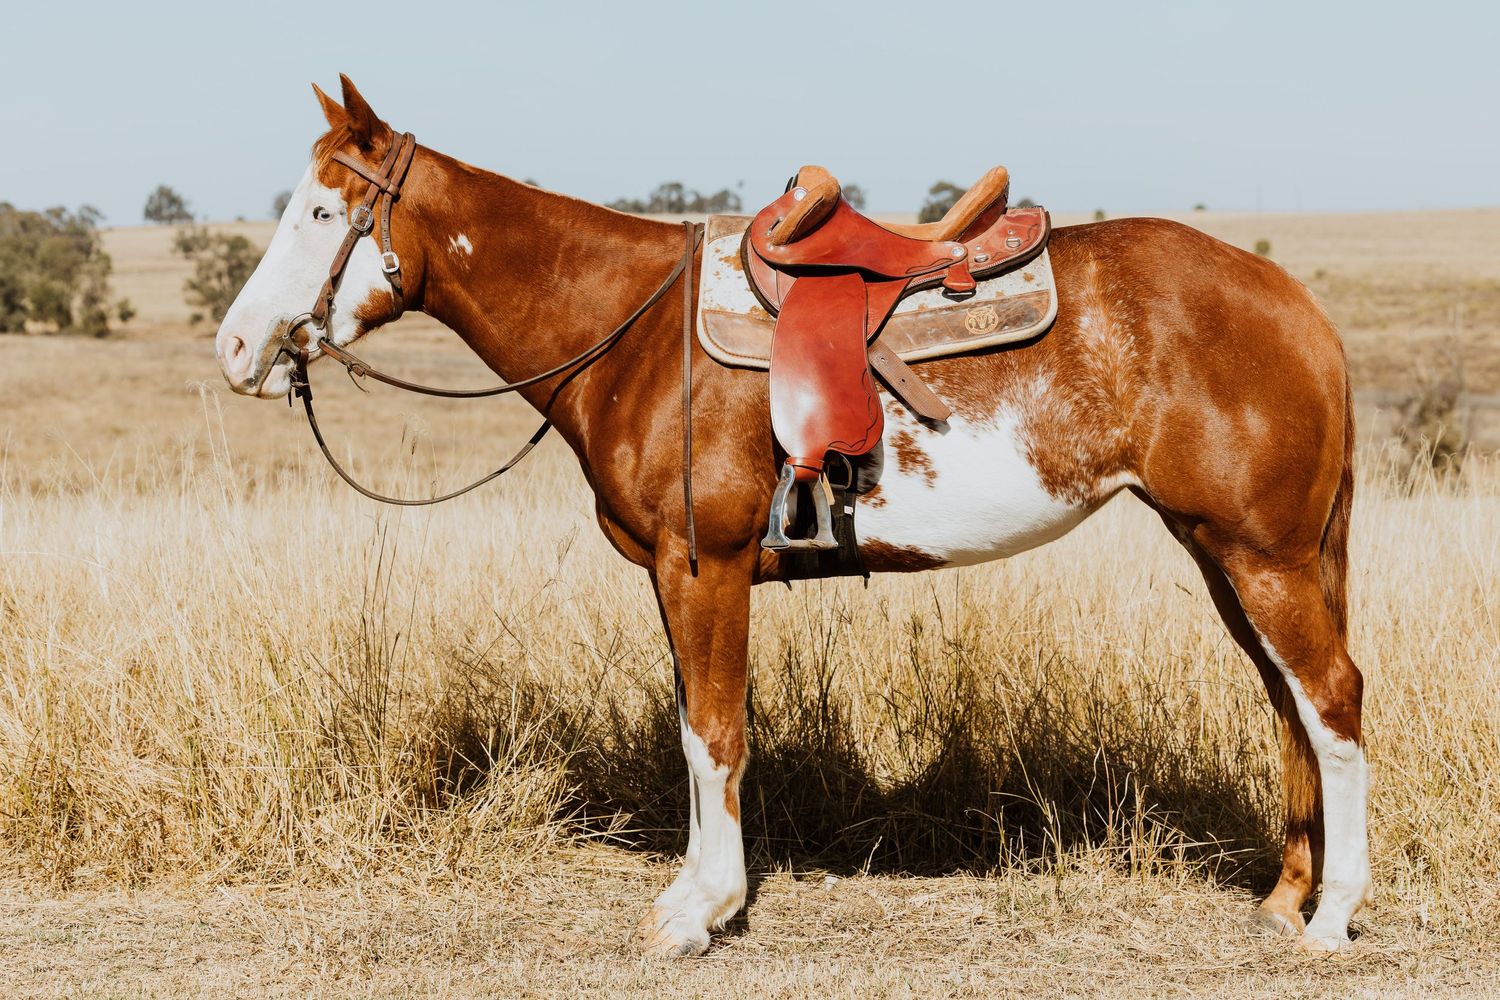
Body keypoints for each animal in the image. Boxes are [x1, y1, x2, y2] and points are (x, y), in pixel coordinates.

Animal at [215, 76, 1368, 957]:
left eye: (321, 213)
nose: (235, 347)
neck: (634, 329)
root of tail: (1298, 305)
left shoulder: (705, 566)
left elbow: (715, 733)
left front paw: (700, 913)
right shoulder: (676, 575)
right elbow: (697, 727)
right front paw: (695, 893)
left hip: (1261, 556)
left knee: (1333, 701)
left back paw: (1331, 919)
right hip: (1229, 555)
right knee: (1289, 706)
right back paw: (1284, 898)